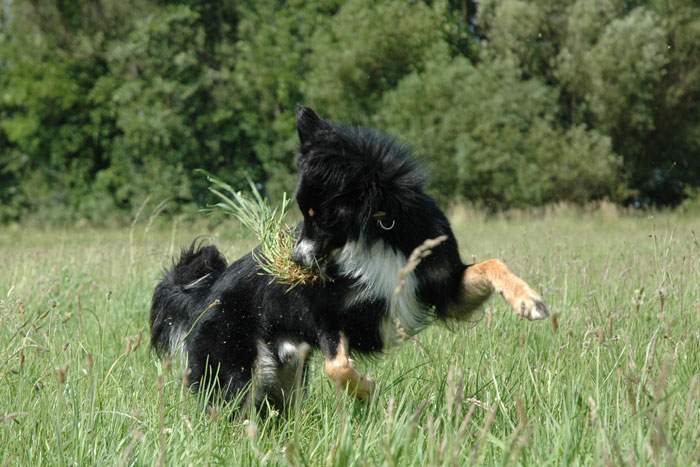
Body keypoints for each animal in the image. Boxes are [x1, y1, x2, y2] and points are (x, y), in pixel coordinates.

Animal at [150, 106, 548, 414]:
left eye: (320, 215)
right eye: (303, 213)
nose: (294, 260)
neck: (375, 232)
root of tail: (204, 295)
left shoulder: (442, 288)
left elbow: (492, 263)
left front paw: (528, 301)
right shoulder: (327, 315)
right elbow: (338, 366)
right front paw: (367, 390)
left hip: (283, 373)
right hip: (236, 375)